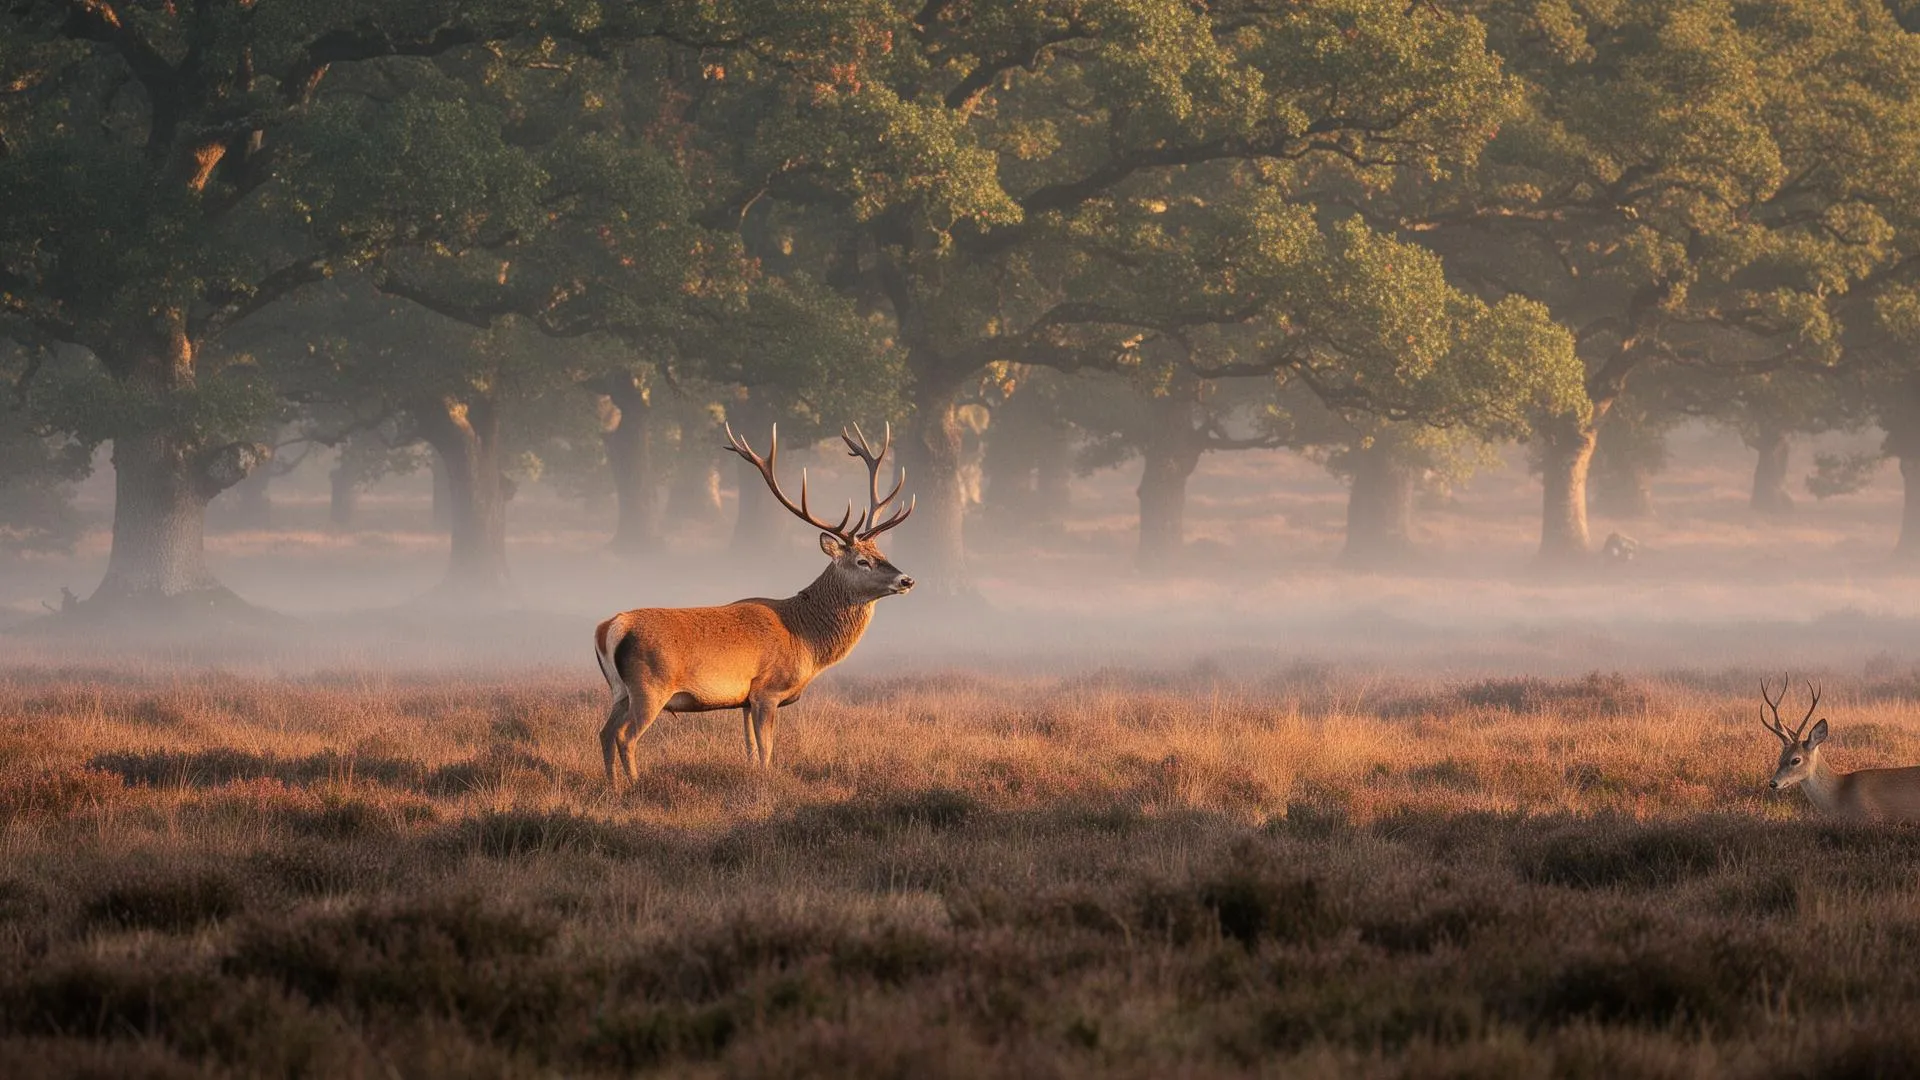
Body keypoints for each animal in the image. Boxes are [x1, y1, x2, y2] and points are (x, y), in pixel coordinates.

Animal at [592, 423, 914, 783]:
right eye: (862, 561)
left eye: (881, 553)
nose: (906, 580)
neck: (805, 640)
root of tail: (611, 627)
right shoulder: (767, 689)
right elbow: (766, 751)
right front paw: (766, 782)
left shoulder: (744, 700)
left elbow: (749, 749)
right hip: (650, 686)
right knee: (625, 736)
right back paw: (635, 786)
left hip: (619, 690)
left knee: (604, 732)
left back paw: (613, 786)